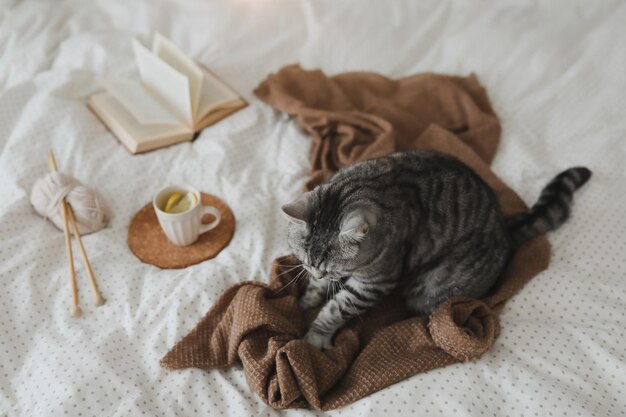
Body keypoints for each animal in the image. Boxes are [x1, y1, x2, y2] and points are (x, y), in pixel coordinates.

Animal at [282, 150, 588, 348]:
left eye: (332, 268)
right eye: (305, 262)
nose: (317, 274)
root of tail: (504, 229)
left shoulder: (374, 282)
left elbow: (336, 309)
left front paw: (316, 337)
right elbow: (317, 292)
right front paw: (306, 301)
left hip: (431, 288)